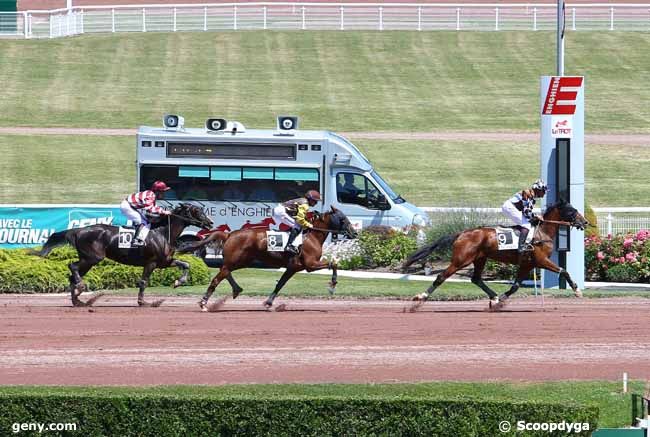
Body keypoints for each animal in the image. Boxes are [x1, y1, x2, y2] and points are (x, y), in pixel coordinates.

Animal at [34, 204, 211, 306]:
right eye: (197, 211)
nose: (210, 223)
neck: (162, 233)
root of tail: (78, 230)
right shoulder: (151, 263)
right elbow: (143, 282)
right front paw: (143, 302)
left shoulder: (164, 261)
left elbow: (186, 264)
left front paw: (178, 282)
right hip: (92, 258)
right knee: (72, 266)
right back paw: (81, 288)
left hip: (88, 260)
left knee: (73, 275)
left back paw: (78, 300)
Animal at [178, 205, 354, 310]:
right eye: (343, 219)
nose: (354, 233)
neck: (312, 237)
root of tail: (229, 234)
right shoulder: (310, 264)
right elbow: (334, 264)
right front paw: (332, 285)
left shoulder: (292, 268)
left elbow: (280, 284)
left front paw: (268, 302)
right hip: (237, 260)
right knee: (218, 277)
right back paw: (203, 302)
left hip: (242, 260)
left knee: (225, 271)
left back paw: (236, 289)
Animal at [402, 199, 584, 308]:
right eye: (572, 210)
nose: (585, 222)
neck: (541, 233)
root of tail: (461, 233)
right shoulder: (540, 260)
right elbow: (564, 270)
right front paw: (577, 290)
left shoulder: (527, 264)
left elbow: (515, 286)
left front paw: (501, 299)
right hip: (461, 260)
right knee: (441, 277)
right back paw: (420, 297)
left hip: (480, 259)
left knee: (476, 279)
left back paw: (495, 298)